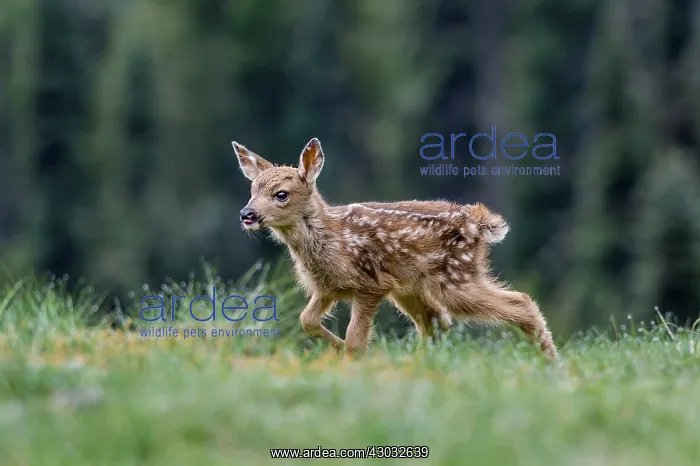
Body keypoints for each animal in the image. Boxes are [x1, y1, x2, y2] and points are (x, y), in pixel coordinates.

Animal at [232, 137, 558, 361]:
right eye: (252, 190)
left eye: (281, 194)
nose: (247, 214)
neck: (333, 239)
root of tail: (478, 222)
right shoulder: (328, 287)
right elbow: (307, 320)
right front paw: (338, 348)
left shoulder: (371, 284)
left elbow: (355, 340)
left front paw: (352, 357)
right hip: (411, 288)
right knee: (437, 323)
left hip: (453, 277)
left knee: (519, 302)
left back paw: (551, 364)